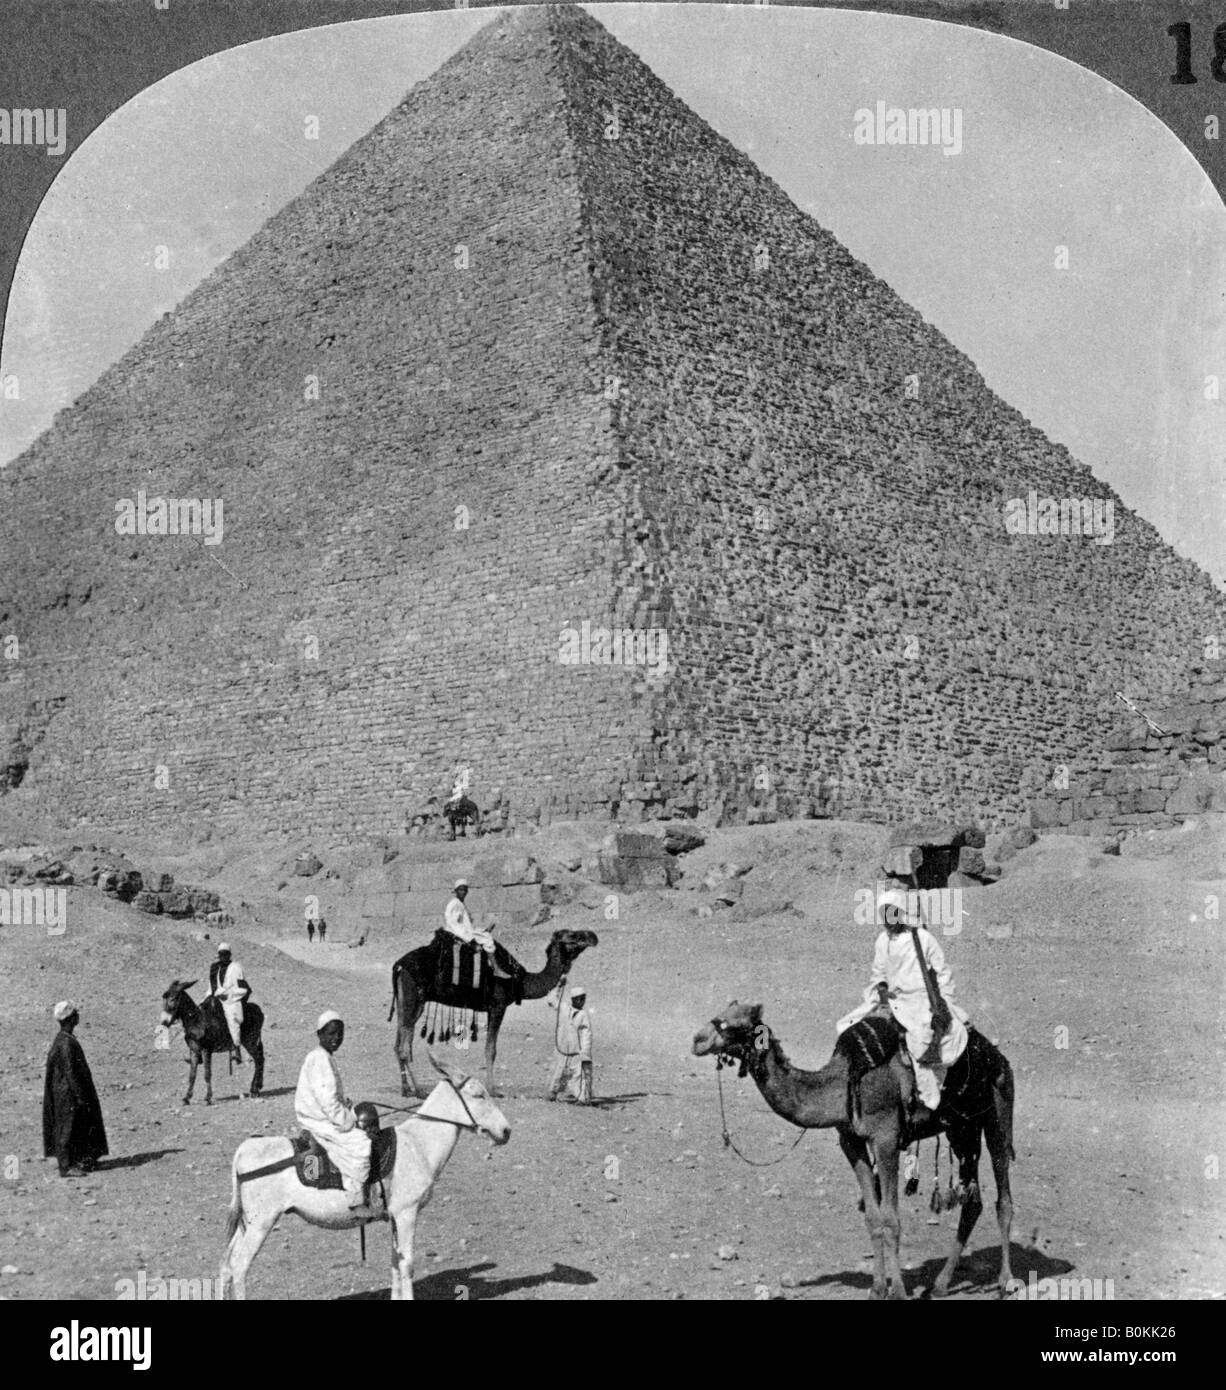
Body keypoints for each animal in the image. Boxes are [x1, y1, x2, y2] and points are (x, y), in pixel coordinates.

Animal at [159, 978, 264, 1106]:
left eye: (173, 998)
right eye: (164, 998)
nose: (164, 1023)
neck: (196, 1021)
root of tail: (258, 1009)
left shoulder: (206, 1050)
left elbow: (207, 1074)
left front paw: (208, 1098)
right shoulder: (194, 1050)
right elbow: (192, 1075)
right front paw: (187, 1098)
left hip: (250, 1041)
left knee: (259, 1060)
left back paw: (254, 1089)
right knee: (260, 1058)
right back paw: (257, 1088)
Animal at [216, 1056, 508, 1295]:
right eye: (479, 1095)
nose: (506, 1131)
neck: (418, 1144)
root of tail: (245, 1150)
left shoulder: (394, 1216)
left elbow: (395, 1262)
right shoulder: (407, 1212)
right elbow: (407, 1264)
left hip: (247, 1222)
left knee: (225, 1266)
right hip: (261, 1222)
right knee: (239, 1266)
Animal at [386, 922, 597, 1095]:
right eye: (572, 936)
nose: (593, 936)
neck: (519, 980)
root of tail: (399, 965)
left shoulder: (490, 1009)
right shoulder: (498, 1006)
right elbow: (491, 1049)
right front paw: (493, 1090)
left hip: (406, 1001)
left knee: (398, 1043)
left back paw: (406, 1089)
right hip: (414, 997)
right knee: (404, 1046)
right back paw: (417, 1091)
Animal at [689, 1000, 1011, 1301]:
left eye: (737, 1023)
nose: (697, 1039)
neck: (842, 1084)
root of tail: (995, 1054)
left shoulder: (886, 1138)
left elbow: (891, 1220)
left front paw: (898, 1291)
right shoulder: (851, 1141)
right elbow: (873, 1218)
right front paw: (877, 1288)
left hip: (997, 1113)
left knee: (1003, 1194)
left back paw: (1005, 1281)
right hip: (963, 1129)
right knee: (973, 1201)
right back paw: (941, 1284)